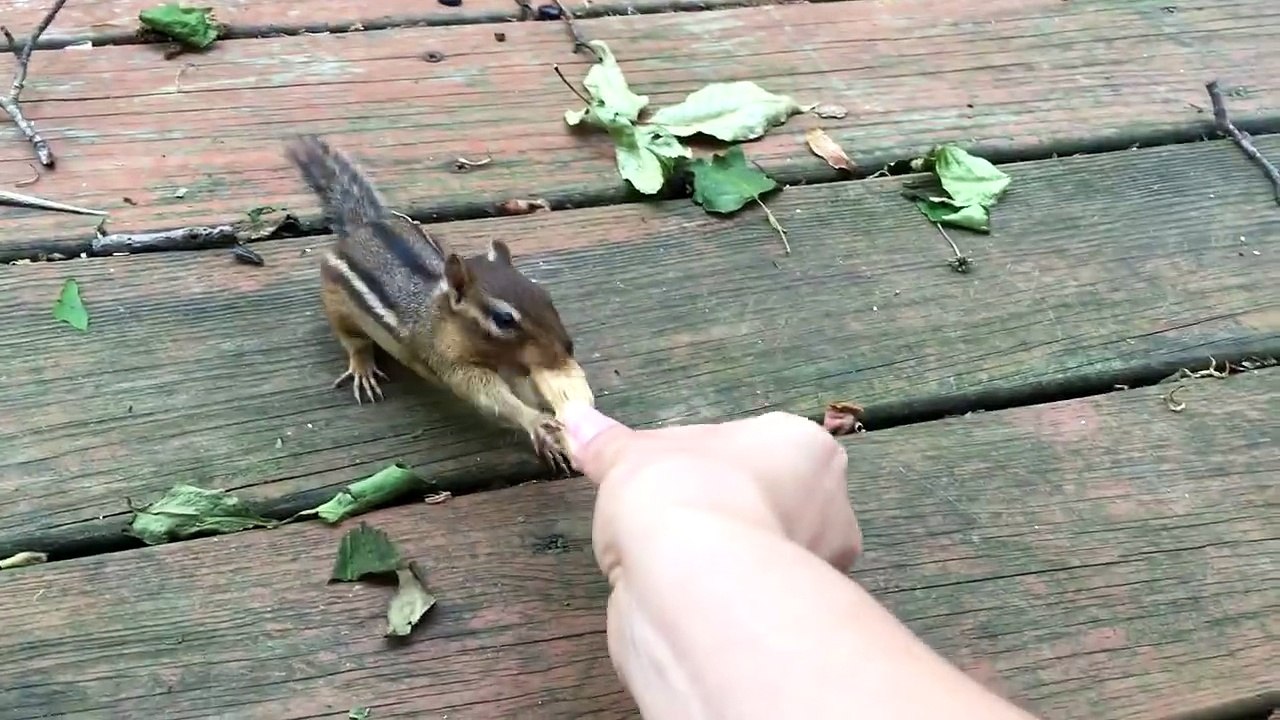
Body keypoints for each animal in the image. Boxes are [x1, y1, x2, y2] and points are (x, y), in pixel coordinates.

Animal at [283, 134, 577, 474]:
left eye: (544, 294)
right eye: (504, 319)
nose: (567, 348)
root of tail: (364, 224)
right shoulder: (453, 365)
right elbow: (492, 399)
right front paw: (536, 422)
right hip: (337, 306)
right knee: (353, 341)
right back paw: (363, 367)